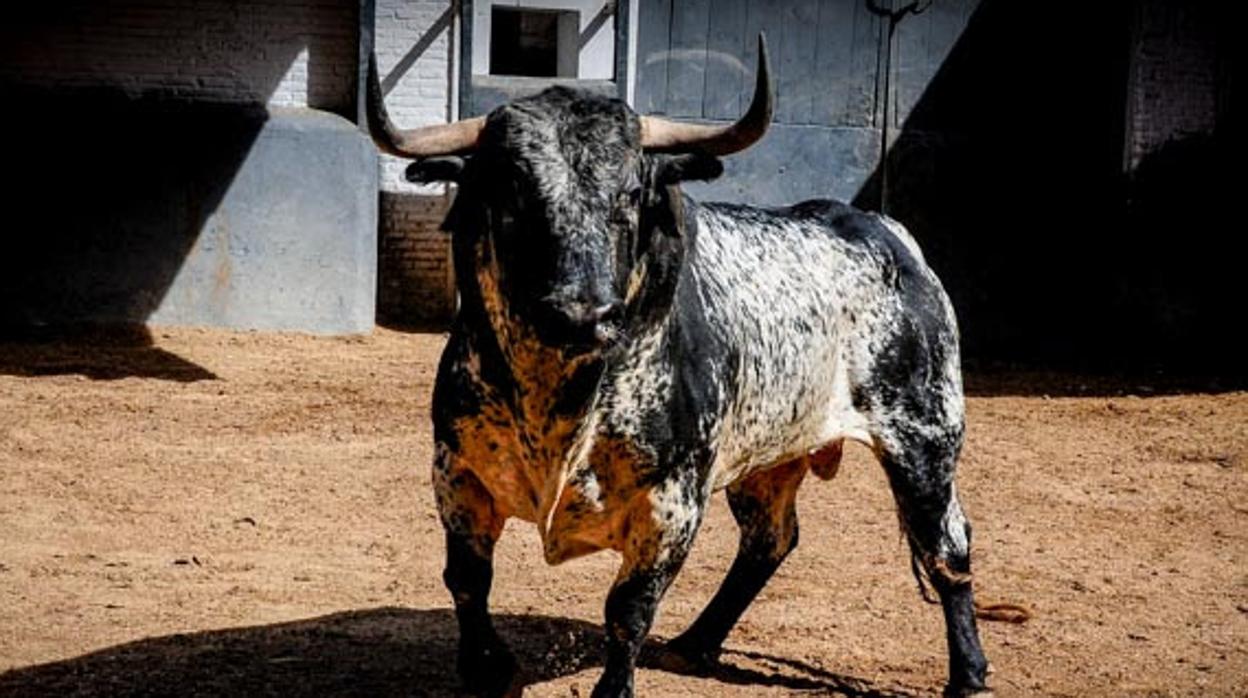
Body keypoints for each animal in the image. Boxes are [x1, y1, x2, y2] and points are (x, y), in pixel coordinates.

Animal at [364, 39, 988, 698]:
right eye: (511, 194)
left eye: (629, 193)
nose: (582, 314)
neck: (555, 397)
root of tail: (886, 232)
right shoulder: (456, 473)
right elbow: (466, 580)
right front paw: (486, 667)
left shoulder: (673, 502)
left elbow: (629, 609)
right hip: (771, 454)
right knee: (770, 540)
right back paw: (696, 642)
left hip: (923, 438)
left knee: (948, 546)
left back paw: (969, 671)